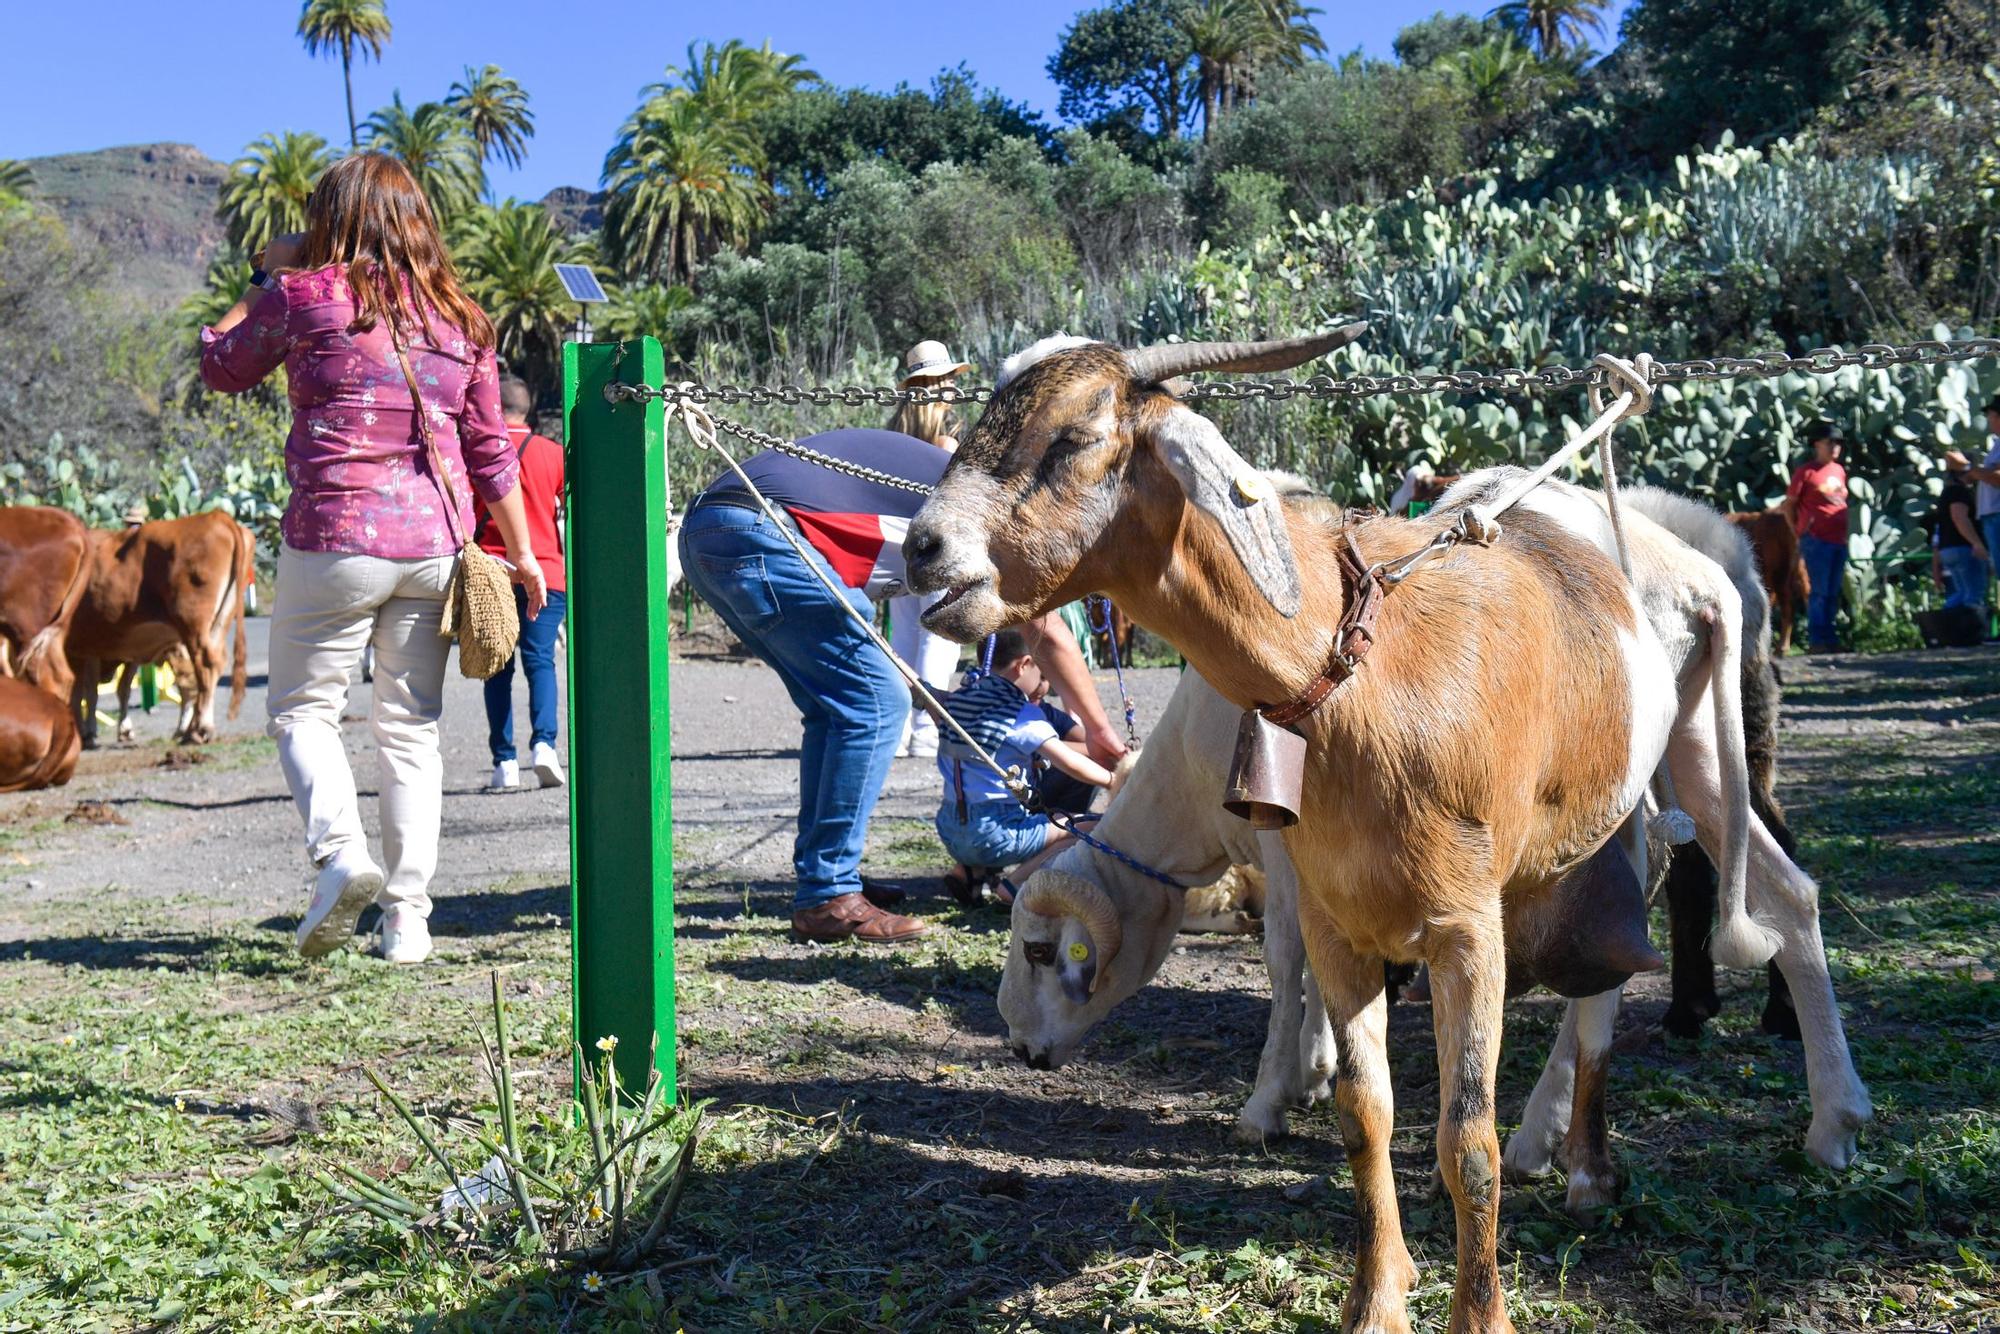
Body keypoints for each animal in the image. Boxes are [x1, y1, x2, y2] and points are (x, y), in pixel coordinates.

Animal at [68, 512, 254, 748]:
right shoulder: (120, 648)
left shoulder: (78, 647)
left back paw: (200, 729)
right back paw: (190, 729)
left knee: (201, 668)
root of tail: (216, 516)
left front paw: (85, 734)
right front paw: (120, 729)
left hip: (192, 625)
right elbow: (117, 687)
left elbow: (80, 691)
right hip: (217, 623)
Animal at [908, 332, 1784, 1334]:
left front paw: (1479, 1312)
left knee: (1718, 933)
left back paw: (1660, 1155)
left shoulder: (1463, 929)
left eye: (1076, 437)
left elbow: (1464, 1138)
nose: (922, 547)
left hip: (1676, 775)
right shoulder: (1339, 921)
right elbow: (1367, 1115)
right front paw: (1377, 1298)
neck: (1360, 665)